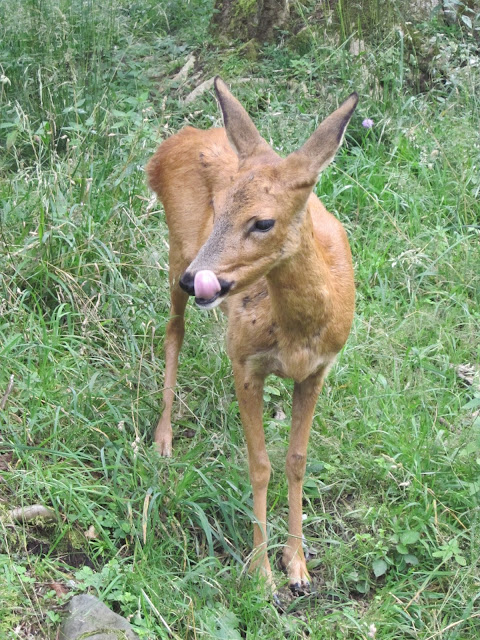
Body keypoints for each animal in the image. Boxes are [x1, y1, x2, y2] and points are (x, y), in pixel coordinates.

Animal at [146, 77, 356, 592]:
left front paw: (297, 565)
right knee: (173, 330)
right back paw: (163, 440)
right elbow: (259, 464)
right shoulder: (243, 361)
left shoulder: (318, 371)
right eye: (218, 206)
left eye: (263, 221)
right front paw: (261, 574)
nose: (198, 280)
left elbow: (296, 459)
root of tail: (177, 140)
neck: (297, 335)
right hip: (177, 251)